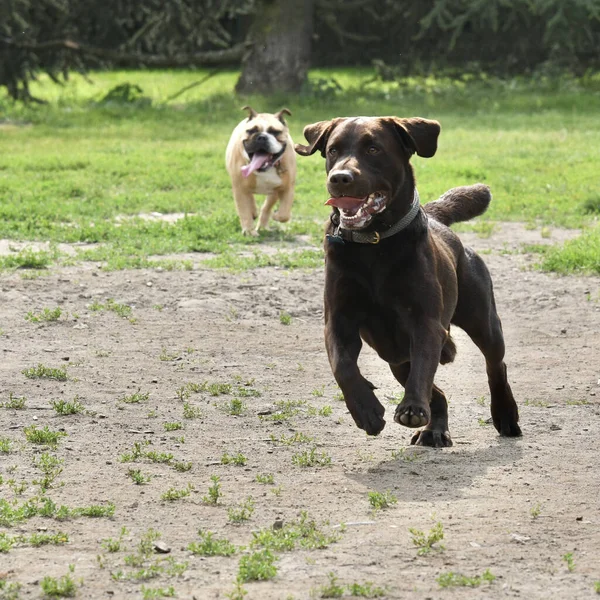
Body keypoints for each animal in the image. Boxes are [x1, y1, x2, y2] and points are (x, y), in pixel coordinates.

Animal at [225, 106, 296, 236]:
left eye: (275, 132)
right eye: (252, 130)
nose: (262, 137)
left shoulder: (287, 188)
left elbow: (284, 214)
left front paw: (277, 215)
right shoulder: (239, 189)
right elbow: (244, 210)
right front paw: (249, 231)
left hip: (274, 192)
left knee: (267, 207)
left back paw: (263, 225)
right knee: (250, 200)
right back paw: (253, 213)